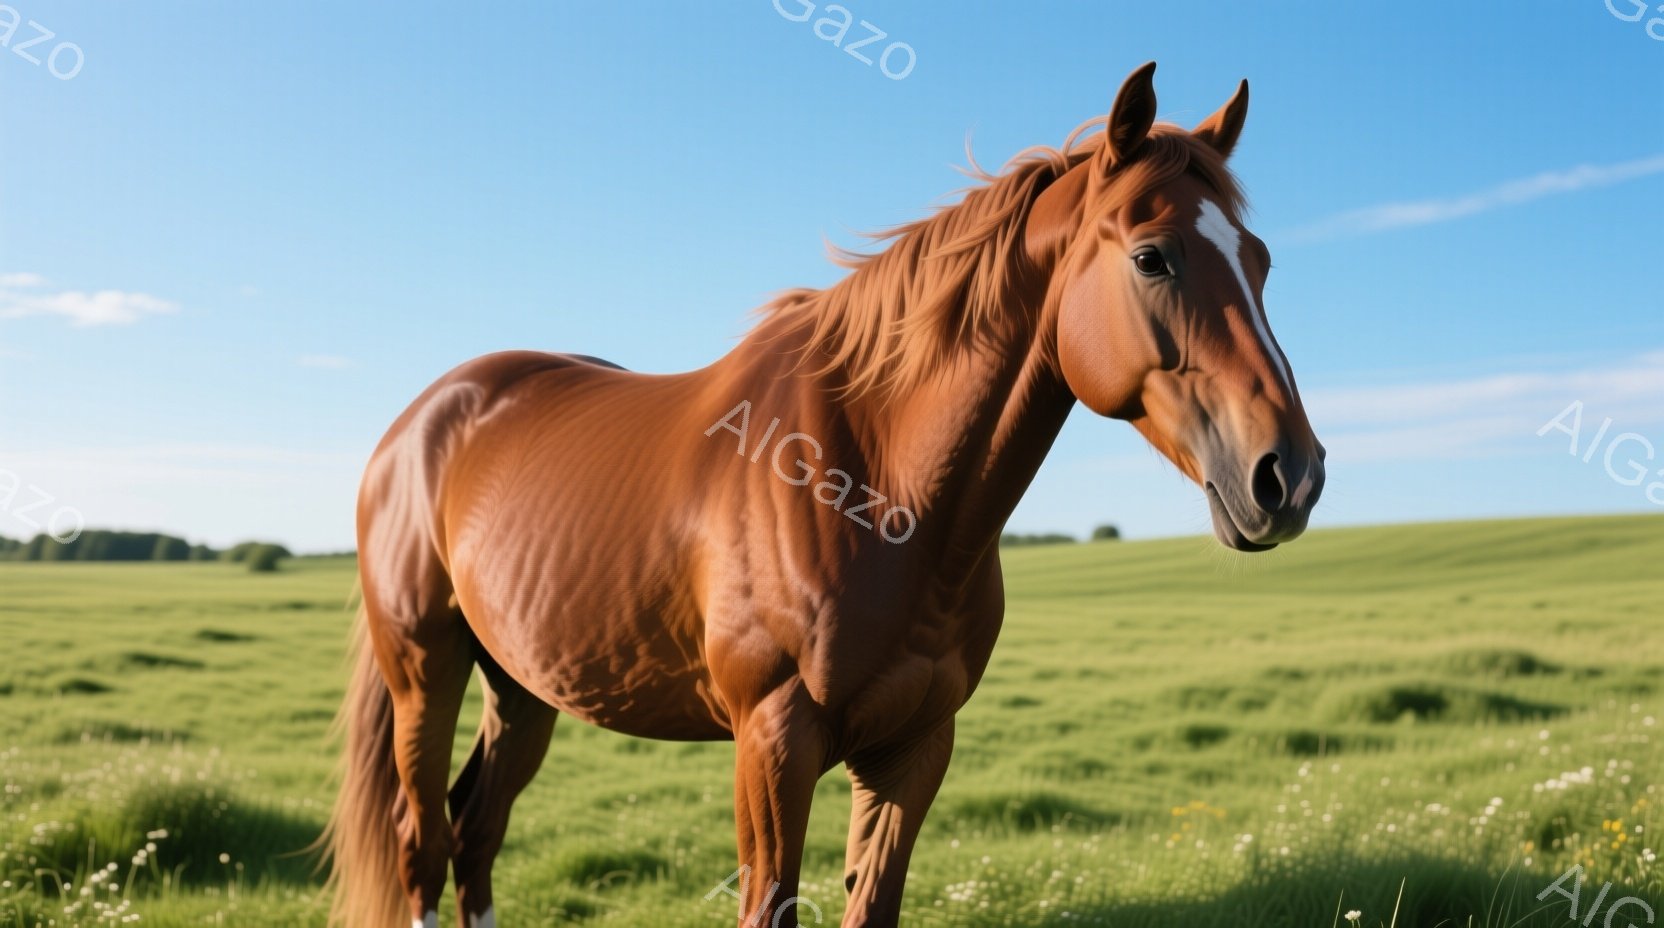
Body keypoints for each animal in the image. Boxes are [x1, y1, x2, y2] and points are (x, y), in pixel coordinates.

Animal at [323, 61, 1325, 928]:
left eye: (1261, 261)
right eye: (1154, 258)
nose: (1291, 476)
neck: (873, 493)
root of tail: (419, 422)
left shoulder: (914, 748)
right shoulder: (773, 743)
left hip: (523, 685)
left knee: (476, 834)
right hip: (427, 672)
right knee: (424, 838)